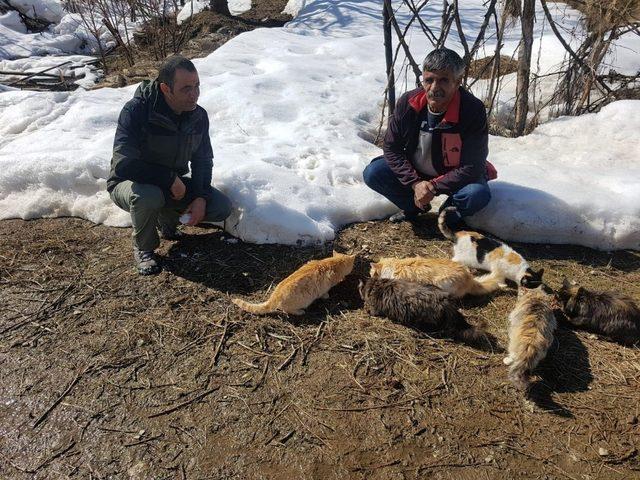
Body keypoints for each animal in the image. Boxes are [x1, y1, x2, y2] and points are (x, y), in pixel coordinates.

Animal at [358, 278, 488, 344]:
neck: (376, 284)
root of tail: (447, 302)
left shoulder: (376, 307)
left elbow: (373, 311)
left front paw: (366, 310)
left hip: (425, 320)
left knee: (434, 332)